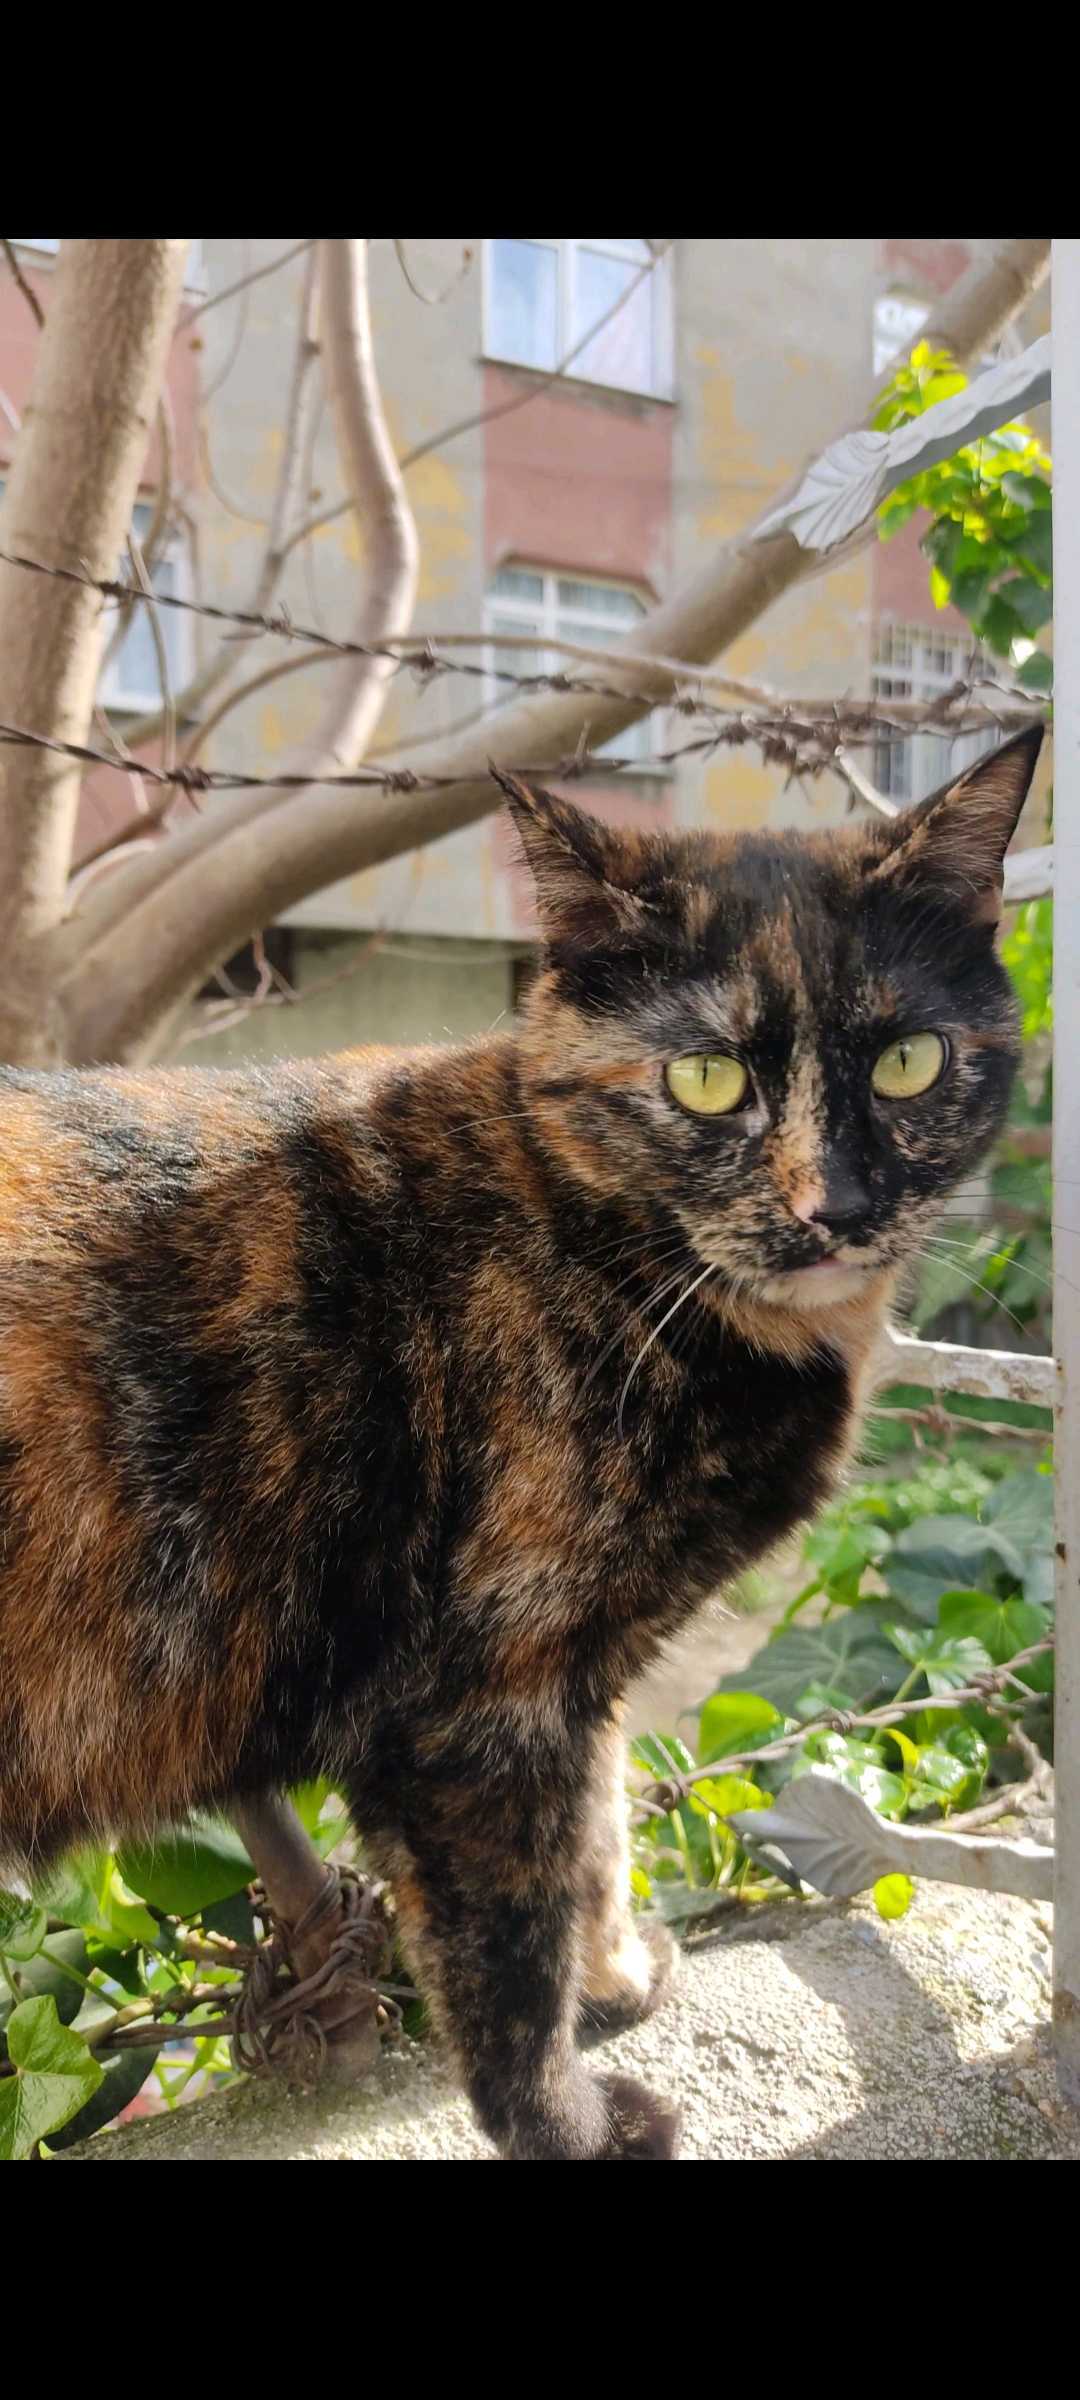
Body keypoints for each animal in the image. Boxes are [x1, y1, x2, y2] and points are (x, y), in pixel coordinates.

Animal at [0, 725, 1040, 2159]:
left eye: (909, 1061)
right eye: (707, 1078)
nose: (832, 1206)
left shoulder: (578, 1669)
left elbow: (595, 1830)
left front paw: (617, 1981)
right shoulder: (480, 1688)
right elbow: (507, 1938)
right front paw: (571, 2120)